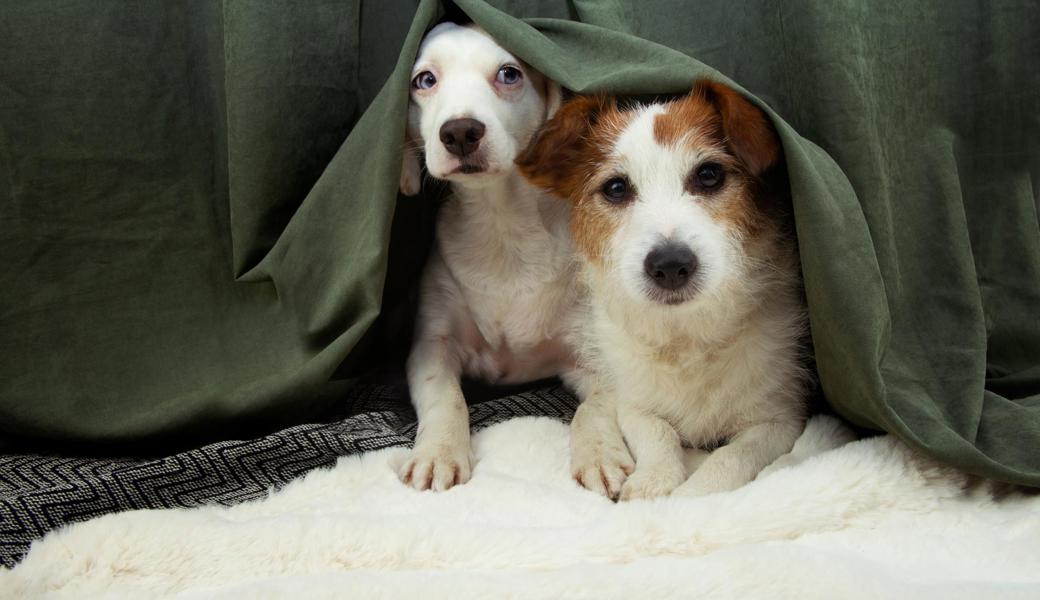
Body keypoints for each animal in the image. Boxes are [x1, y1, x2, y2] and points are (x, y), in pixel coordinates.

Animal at [397, 23, 594, 490]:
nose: (460, 131)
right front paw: (438, 452)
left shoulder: (590, 354)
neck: (503, 228)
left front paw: (602, 453)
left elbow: (599, 408)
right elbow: (446, 398)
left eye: (509, 73)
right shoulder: (432, 346)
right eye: (424, 80)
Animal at [515, 80, 807, 501]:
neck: (685, 336)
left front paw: (690, 497)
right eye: (616, 187)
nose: (670, 265)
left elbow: (731, 457)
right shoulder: (633, 401)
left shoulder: (779, 419)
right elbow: (658, 431)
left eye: (709, 175)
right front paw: (654, 481)